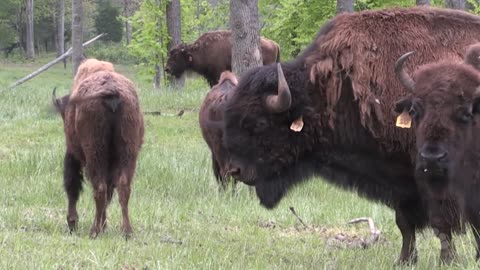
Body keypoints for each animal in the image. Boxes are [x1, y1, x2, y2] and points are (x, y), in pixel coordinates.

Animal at [52, 58, 143, 237]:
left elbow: (72, 185)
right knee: (122, 187)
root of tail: (111, 92)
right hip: (128, 152)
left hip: (94, 153)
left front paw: (72, 222)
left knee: (99, 188)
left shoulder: (72, 155)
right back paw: (126, 232)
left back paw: (94, 231)